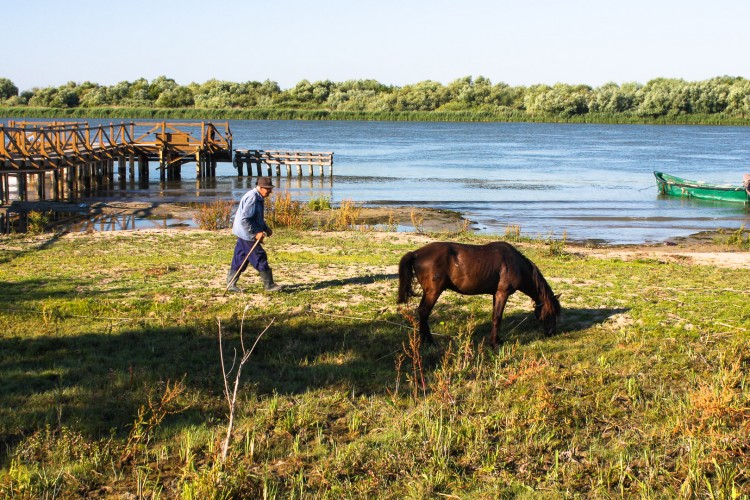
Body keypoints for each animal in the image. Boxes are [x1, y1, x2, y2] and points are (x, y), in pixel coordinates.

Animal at [396, 241, 560, 348]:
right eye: (550, 313)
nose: (552, 333)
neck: (515, 264)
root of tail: (416, 253)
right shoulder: (502, 293)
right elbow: (497, 318)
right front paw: (494, 343)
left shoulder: (496, 294)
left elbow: (495, 317)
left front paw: (496, 340)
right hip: (433, 292)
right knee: (424, 312)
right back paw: (429, 341)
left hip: (428, 292)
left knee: (421, 311)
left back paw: (423, 339)